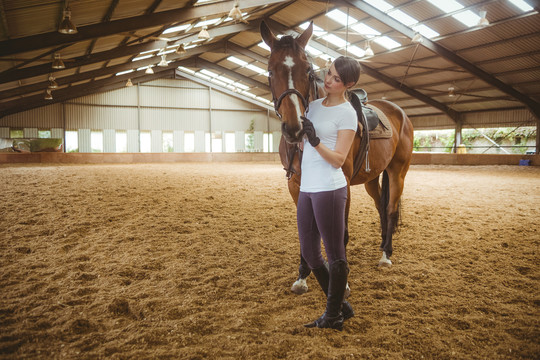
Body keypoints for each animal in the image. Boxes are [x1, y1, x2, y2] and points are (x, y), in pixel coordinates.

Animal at [262, 21, 414, 294]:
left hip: (398, 171)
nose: (295, 128)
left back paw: (386, 255)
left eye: (309, 70)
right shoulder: (296, 185)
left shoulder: (341, 186)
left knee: (391, 208)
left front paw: (341, 282)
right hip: (372, 178)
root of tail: (399, 112)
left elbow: (339, 233)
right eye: (270, 71)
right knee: (381, 206)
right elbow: (305, 232)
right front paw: (302, 277)